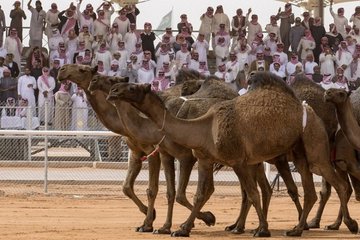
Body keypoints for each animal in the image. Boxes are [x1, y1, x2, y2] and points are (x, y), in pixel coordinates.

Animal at [108, 72, 358, 237]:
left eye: (132, 88)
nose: (113, 91)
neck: (204, 127)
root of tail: (309, 110)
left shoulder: (238, 161)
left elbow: (252, 194)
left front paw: (262, 230)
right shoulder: (206, 160)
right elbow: (200, 194)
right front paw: (185, 228)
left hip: (315, 146)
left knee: (338, 184)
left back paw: (347, 224)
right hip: (298, 151)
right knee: (311, 191)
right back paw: (297, 228)